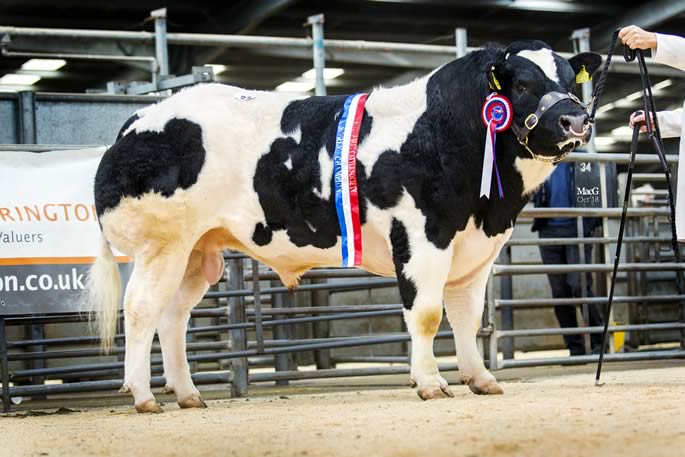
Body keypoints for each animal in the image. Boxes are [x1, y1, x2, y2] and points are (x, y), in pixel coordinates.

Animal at [85, 39, 600, 412]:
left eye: (570, 79)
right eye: (523, 84)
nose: (576, 119)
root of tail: (140, 117)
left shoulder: (476, 247)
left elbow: (467, 319)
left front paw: (481, 379)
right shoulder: (420, 236)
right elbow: (426, 314)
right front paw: (431, 383)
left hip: (198, 250)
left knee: (173, 316)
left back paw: (189, 395)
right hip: (163, 245)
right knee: (141, 309)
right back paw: (144, 396)